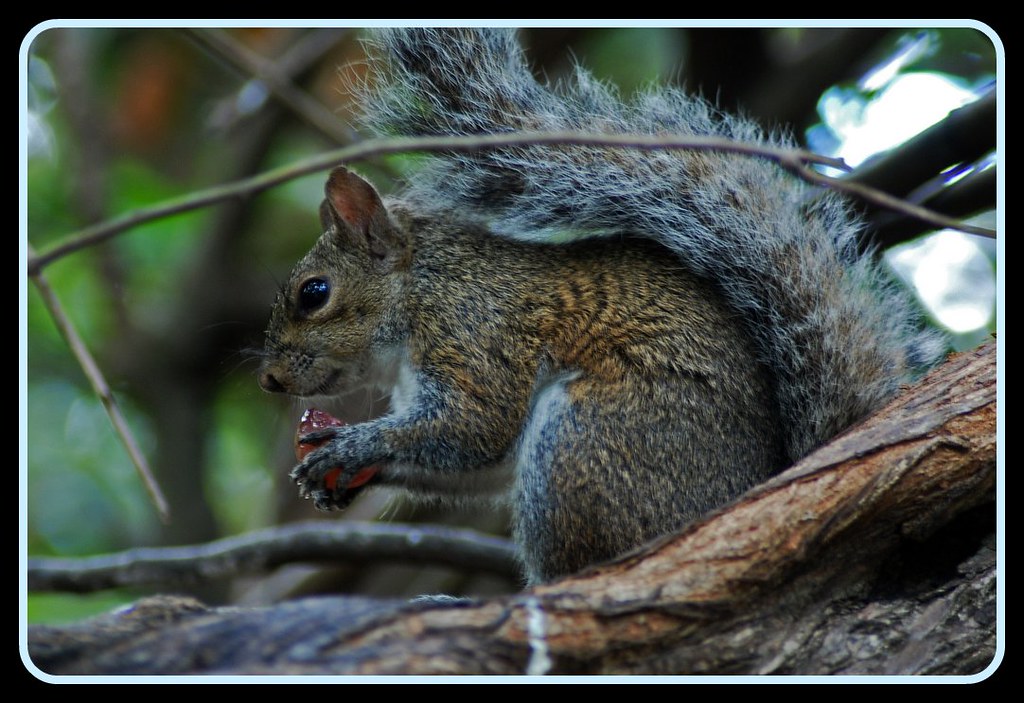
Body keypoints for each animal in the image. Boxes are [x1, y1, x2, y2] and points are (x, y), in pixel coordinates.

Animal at [258, 28, 943, 585]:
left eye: (314, 293)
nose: (269, 380)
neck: (421, 290)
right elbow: (474, 462)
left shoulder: (477, 333)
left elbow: (473, 428)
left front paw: (350, 448)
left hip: (587, 440)